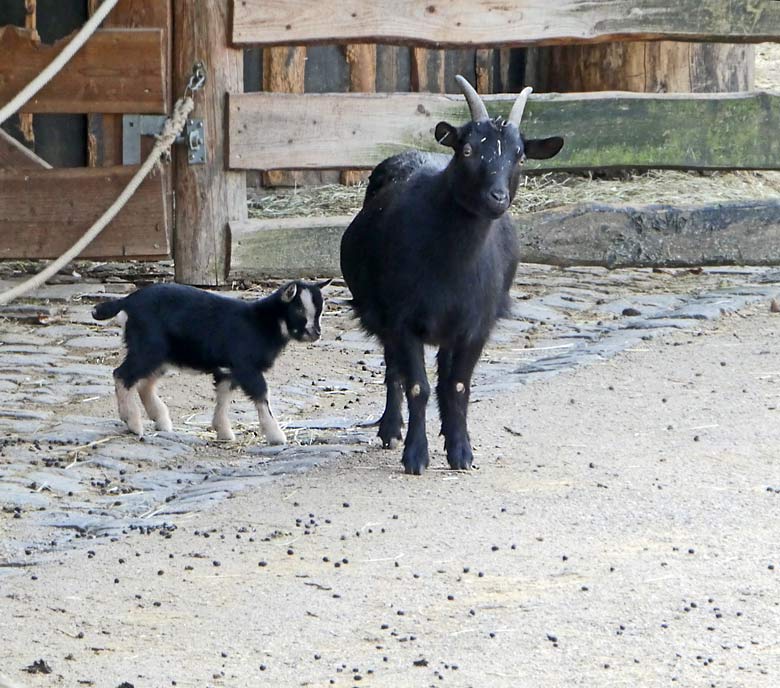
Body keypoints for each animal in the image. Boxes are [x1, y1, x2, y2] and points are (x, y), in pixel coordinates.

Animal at [338, 75, 564, 472]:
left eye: (519, 155)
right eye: (468, 150)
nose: (497, 197)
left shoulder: (476, 324)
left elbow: (457, 384)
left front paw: (460, 451)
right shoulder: (402, 319)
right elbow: (418, 386)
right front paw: (416, 455)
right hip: (384, 316)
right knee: (394, 370)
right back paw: (390, 429)